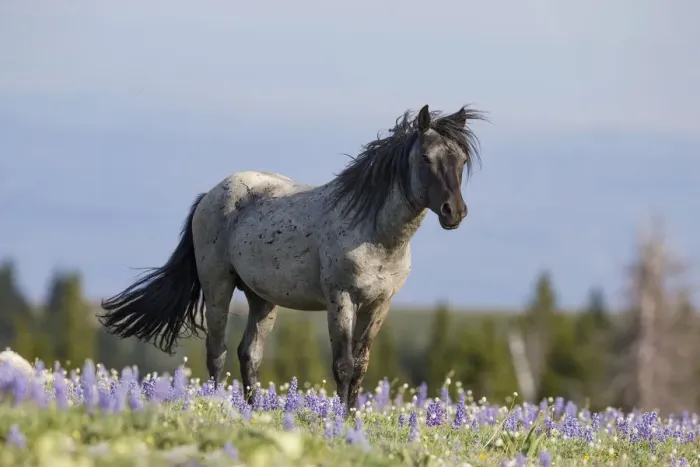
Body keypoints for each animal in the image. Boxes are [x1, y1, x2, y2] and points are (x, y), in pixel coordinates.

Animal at [98, 104, 484, 410]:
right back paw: (218, 406)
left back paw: (254, 411)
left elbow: (361, 366)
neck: (376, 234)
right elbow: (343, 365)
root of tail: (210, 194)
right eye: (425, 158)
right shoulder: (341, 299)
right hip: (218, 287)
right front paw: (339, 421)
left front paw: (353, 419)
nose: (454, 212)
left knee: (249, 354)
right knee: (217, 351)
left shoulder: (379, 305)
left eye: (462, 160)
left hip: (263, 299)